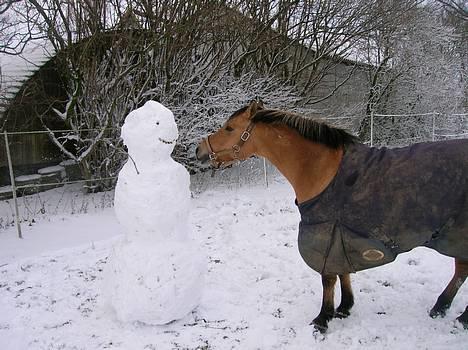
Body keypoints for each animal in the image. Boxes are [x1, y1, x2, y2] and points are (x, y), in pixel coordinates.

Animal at [195, 100, 468, 330]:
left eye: (229, 128)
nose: (199, 150)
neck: (321, 169)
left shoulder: (325, 232)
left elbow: (328, 278)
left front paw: (323, 318)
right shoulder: (339, 233)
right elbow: (342, 271)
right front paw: (344, 307)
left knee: (461, 270)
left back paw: (458, 317)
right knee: (461, 271)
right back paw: (441, 309)